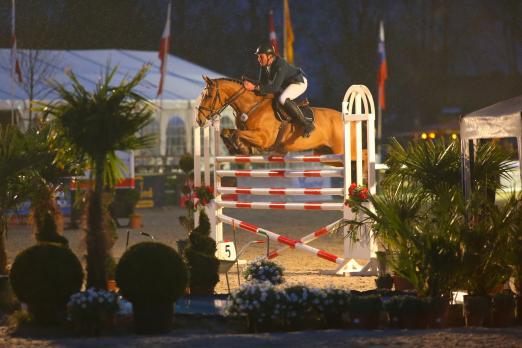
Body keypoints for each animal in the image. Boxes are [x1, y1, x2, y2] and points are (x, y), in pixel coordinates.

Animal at [195, 75, 366, 161]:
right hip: (327, 154)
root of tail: (349, 120)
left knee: (362, 157)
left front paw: (242, 148)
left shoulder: (263, 138)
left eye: (208, 95)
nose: (199, 120)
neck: (252, 106)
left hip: (343, 151)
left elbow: (237, 134)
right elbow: (227, 131)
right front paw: (236, 148)